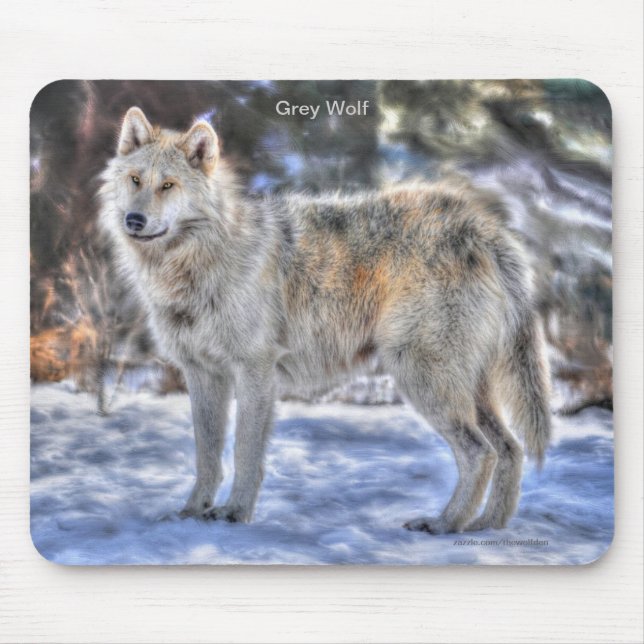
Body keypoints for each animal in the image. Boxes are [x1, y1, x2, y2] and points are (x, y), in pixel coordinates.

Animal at [98, 107, 551, 534]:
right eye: (136, 180)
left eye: (168, 185)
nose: (134, 221)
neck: (197, 262)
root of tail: (482, 228)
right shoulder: (202, 373)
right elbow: (206, 455)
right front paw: (192, 513)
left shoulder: (255, 370)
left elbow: (245, 452)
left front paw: (234, 514)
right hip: (468, 389)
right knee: (510, 449)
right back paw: (487, 526)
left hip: (422, 377)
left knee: (481, 452)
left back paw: (443, 524)